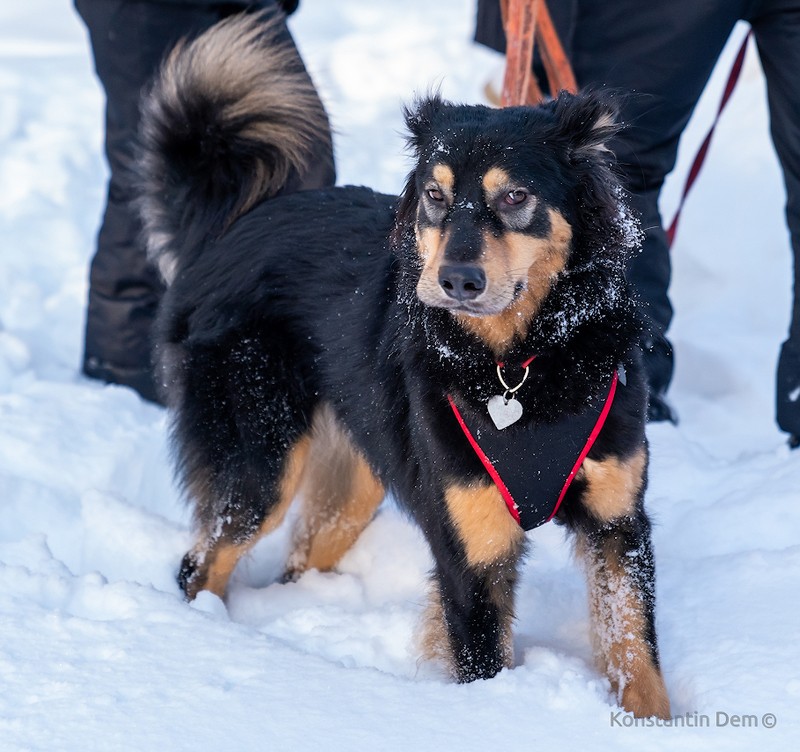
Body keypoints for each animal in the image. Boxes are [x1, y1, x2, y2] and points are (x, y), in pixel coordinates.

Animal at [136, 10, 668, 716]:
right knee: (201, 563)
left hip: (353, 481)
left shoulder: (618, 525)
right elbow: (485, 662)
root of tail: (230, 230)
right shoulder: (470, 546)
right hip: (259, 458)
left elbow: (638, 659)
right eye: (435, 198)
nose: (457, 281)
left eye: (515, 197)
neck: (518, 361)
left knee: (298, 558)